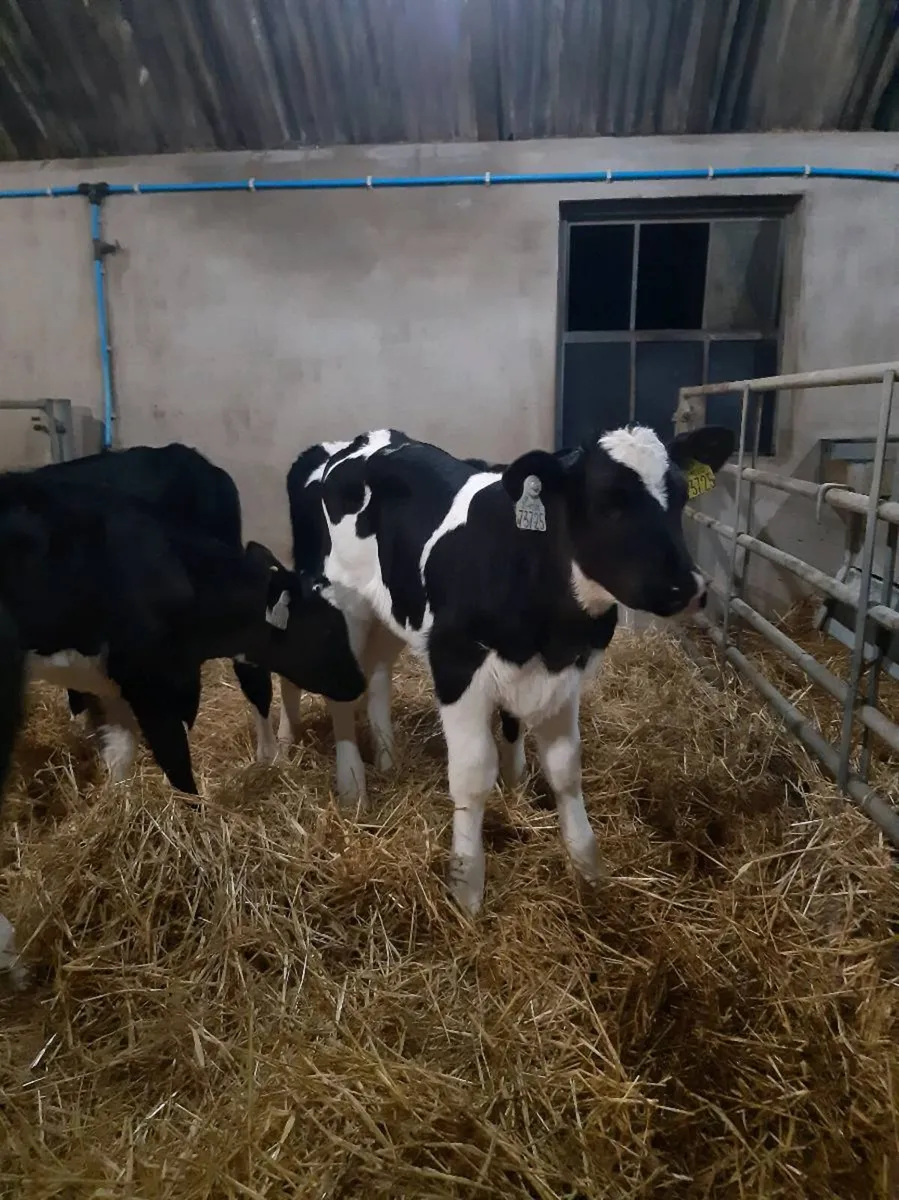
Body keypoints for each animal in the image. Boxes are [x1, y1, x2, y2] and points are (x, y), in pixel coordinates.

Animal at [276, 423, 734, 916]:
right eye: (607, 501)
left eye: (681, 495)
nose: (687, 587)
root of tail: (355, 439)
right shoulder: (456, 665)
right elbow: (473, 775)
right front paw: (467, 886)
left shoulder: (566, 676)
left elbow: (565, 769)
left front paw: (587, 869)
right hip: (341, 603)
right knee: (341, 689)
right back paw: (351, 786)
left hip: (391, 611)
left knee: (377, 675)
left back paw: (386, 758)